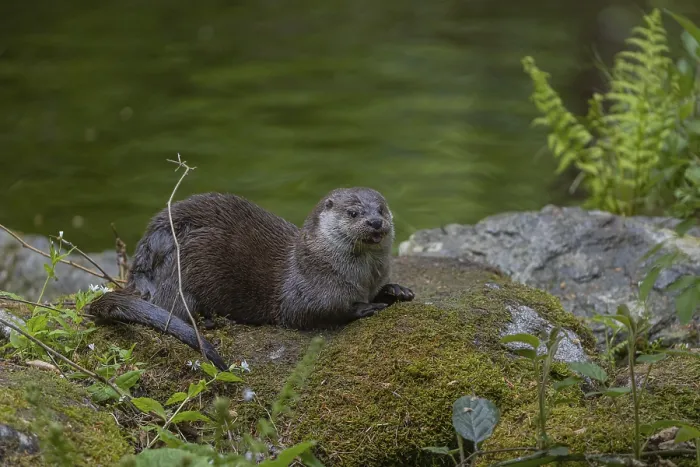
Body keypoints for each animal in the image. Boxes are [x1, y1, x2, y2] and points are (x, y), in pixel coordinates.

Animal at [89, 187, 414, 370]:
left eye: (381, 209)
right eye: (353, 212)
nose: (375, 222)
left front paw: (396, 290)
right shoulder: (303, 292)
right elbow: (316, 311)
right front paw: (365, 307)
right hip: (186, 264)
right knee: (173, 308)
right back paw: (210, 319)